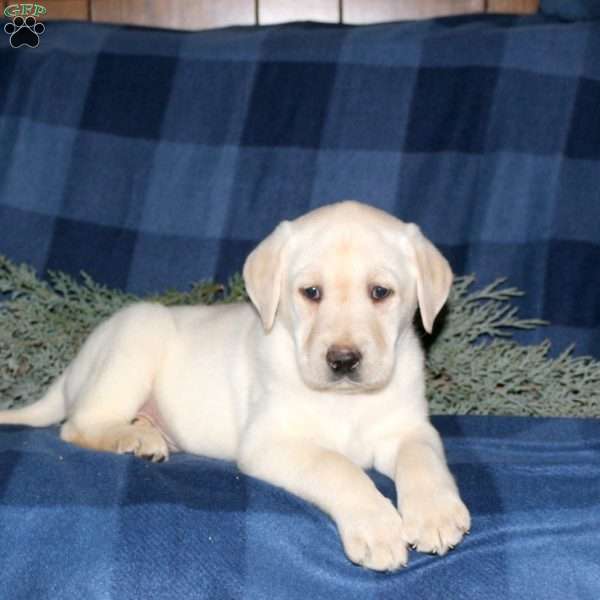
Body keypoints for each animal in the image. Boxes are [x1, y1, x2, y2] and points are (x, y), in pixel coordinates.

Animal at [0, 202, 468, 572]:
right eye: (311, 292)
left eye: (381, 292)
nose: (343, 360)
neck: (344, 402)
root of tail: (74, 367)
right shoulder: (271, 443)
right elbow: (338, 467)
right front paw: (377, 527)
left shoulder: (408, 429)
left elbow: (422, 460)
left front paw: (435, 513)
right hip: (136, 336)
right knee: (78, 425)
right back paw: (134, 437)